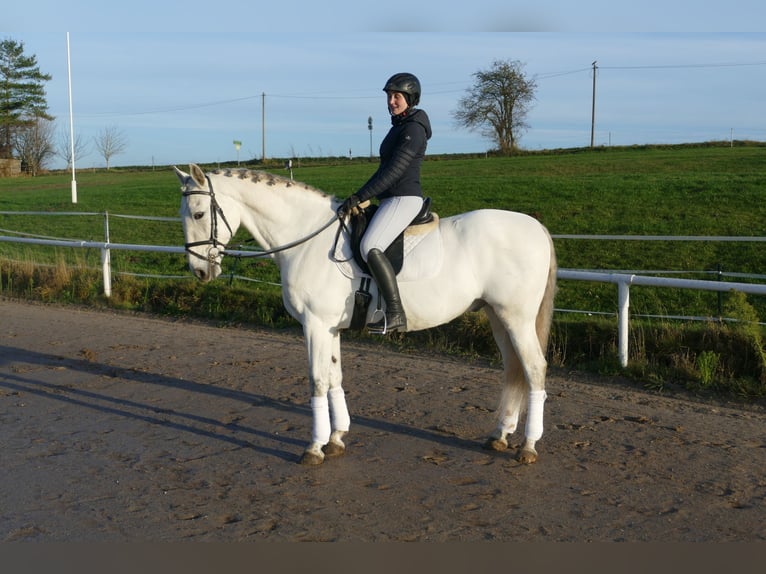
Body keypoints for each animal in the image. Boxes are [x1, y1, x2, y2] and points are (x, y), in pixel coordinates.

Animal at [174, 163, 560, 468]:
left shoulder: (315, 324)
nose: (200, 272)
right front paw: (336, 439)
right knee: (513, 369)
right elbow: (334, 377)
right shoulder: (328, 327)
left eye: (198, 214)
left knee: (534, 368)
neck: (306, 240)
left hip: (516, 317)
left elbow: (317, 380)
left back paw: (528, 447)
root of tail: (537, 227)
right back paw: (500, 435)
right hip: (498, 316)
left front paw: (314, 448)